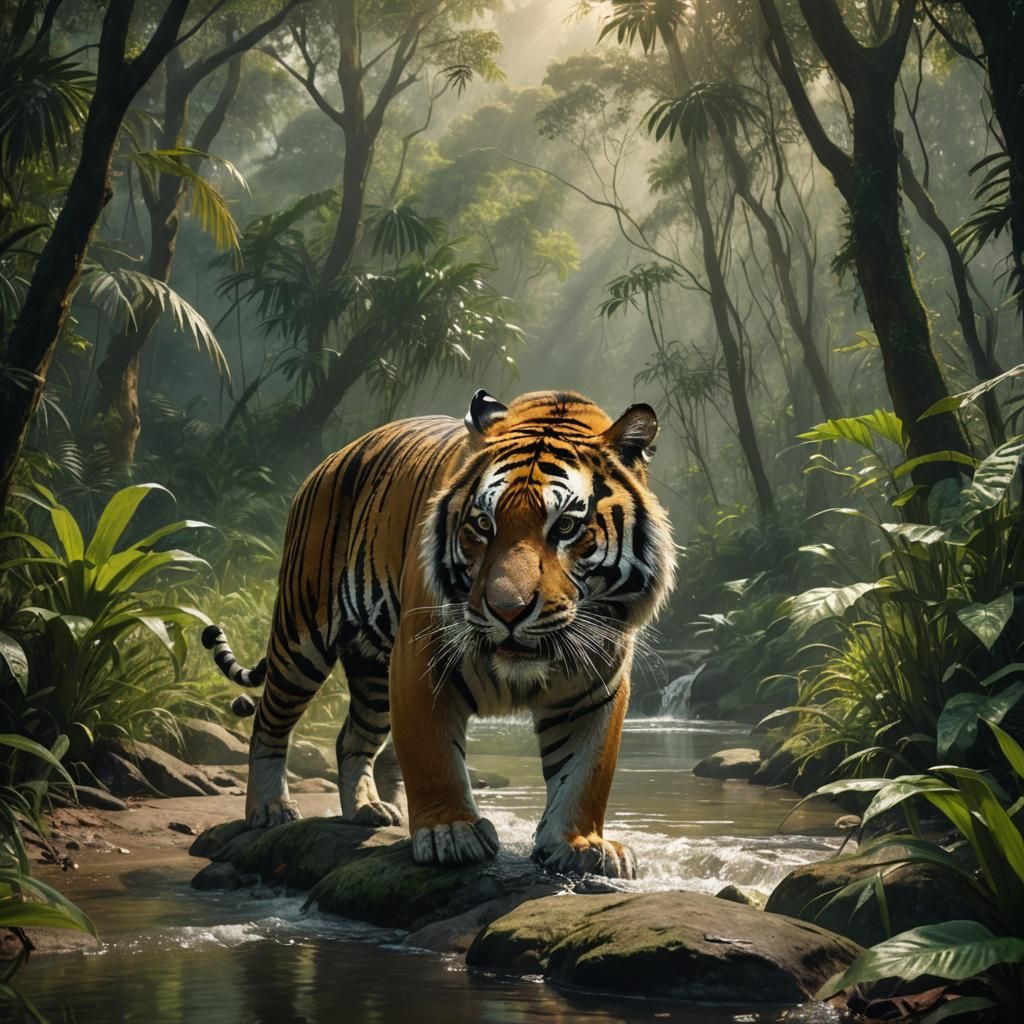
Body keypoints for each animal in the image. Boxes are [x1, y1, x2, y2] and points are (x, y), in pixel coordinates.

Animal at [202, 390, 675, 878]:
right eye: (483, 525)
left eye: (565, 526)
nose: (507, 611)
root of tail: (328, 461)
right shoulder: (418, 664)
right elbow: (434, 758)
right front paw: (452, 833)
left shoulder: (595, 686)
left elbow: (585, 772)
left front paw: (582, 845)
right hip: (301, 638)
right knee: (269, 720)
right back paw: (270, 809)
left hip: (373, 673)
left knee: (351, 737)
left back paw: (367, 810)